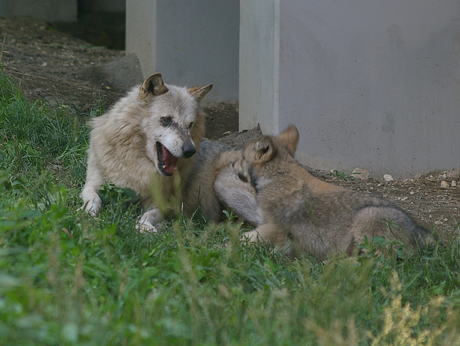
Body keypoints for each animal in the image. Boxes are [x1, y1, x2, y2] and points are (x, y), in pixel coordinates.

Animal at [80, 71, 212, 231]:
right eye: (166, 119)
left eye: (190, 125)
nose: (190, 150)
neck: (137, 166)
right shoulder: (92, 183)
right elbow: (92, 198)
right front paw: (88, 213)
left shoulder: (161, 202)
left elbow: (149, 215)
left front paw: (145, 227)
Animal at [225, 125, 434, 260]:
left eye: (242, 157)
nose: (231, 164)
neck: (277, 176)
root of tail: (417, 232)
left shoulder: (273, 227)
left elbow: (241, 239)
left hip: (365, 222)